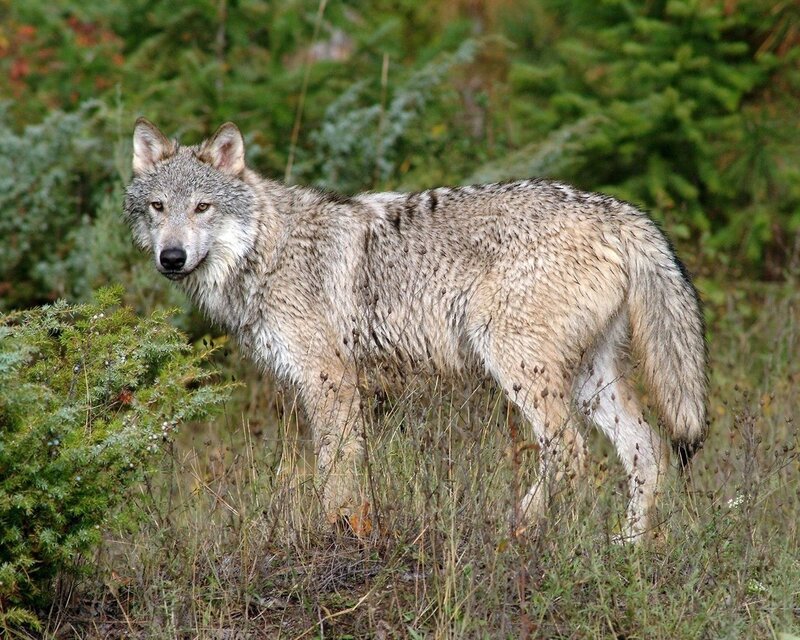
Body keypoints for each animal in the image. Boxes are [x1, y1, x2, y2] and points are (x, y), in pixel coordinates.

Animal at [124, 119, 707, 540]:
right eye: (158, 207)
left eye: (203, 207)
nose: (171, 258)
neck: (267, 251)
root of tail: (618, 211)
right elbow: (352, 477)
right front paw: (355, 530)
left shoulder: (331, 383)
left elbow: (333, 475)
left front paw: (331, 537)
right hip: (590, 383)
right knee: (649, 452)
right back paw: (626, 552)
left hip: (519, 368)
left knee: (570, 452)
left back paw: (521, 527)